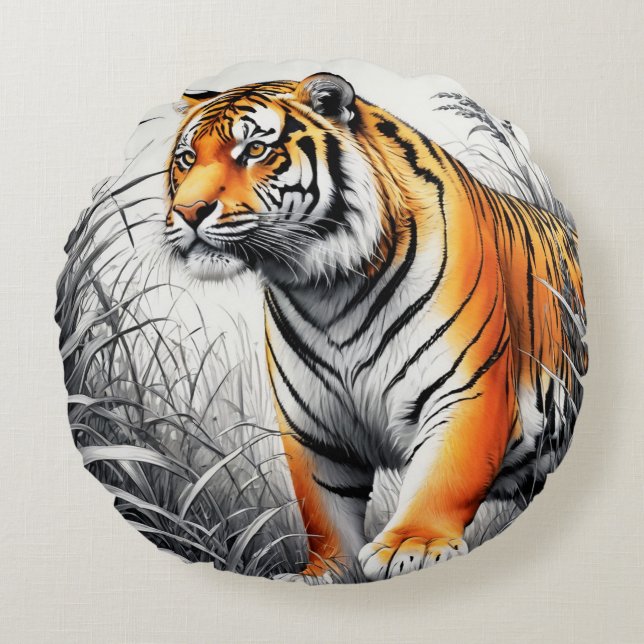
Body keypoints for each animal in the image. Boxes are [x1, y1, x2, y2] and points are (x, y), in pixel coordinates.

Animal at [164, 73, 588, 582]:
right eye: (187, 159)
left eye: (255, 150)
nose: (189, 211)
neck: (330, 290)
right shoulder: (313, 426)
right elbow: (322, 507)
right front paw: (326, 573)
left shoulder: (467, 390)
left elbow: (445, 475)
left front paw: (413, 546)